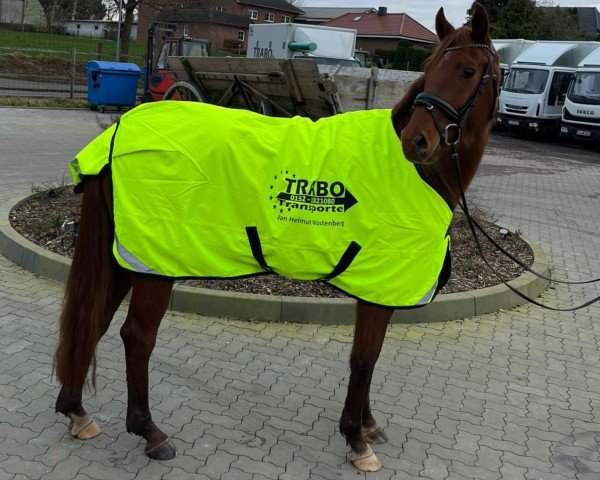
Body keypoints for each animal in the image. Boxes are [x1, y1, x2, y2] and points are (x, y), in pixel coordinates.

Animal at [54, 4, 500, 472]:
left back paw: (77, 412)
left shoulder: (380, 286)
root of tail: (119, 130)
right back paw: (150, 433)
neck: (414, 175)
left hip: (126, 255)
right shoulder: (378, 282)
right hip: (156, 263)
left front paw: (367, 425)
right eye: (432, 68)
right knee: (136, 336)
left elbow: (370, 357)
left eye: (467, 70)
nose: (417, 141)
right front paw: (357, 440)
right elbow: (364, 358)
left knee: (94, 320)